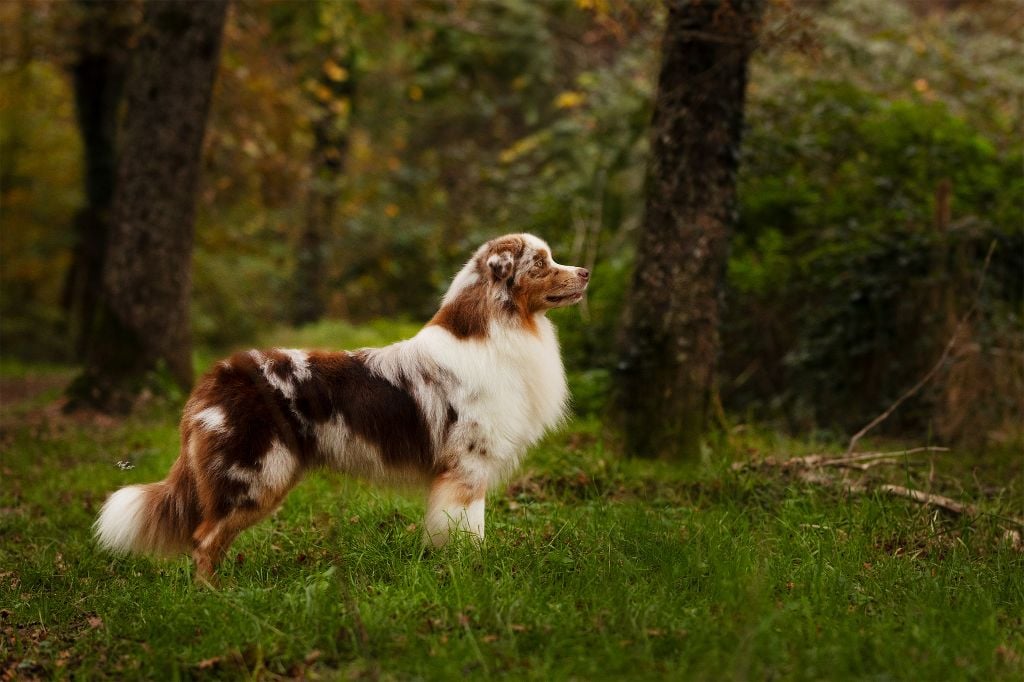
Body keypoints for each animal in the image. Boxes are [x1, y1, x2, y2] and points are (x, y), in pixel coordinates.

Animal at [97, 231, 593, 577]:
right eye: (542, 263)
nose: (587, 272)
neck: (499, 329)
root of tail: (215, 377)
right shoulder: (467, 467)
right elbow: (468, 531)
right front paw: (471, 573)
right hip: (257, 475)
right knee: (203, 539)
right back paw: (217, 601)